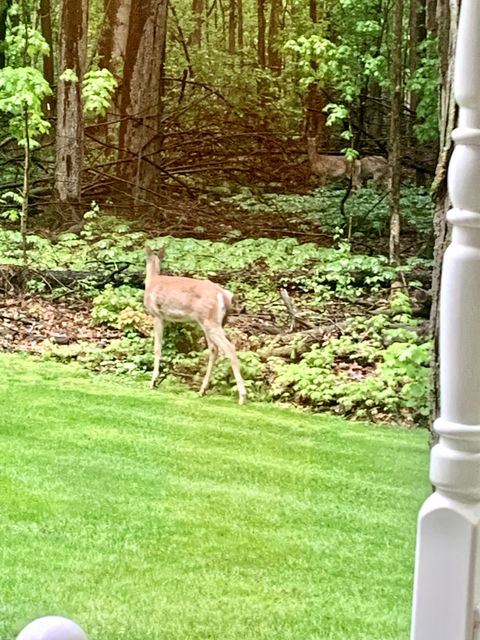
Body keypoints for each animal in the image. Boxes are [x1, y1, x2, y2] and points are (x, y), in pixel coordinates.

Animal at [143, 245, 248, 404]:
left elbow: (157, 348)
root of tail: (223, 295)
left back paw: (242, 397)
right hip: (211, 322)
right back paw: (202, 390)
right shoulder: (166, 319)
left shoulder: (157, 315)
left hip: (210, 321)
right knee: (214, 349)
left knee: (229, 347)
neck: (152, 280)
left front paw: (153, 381)